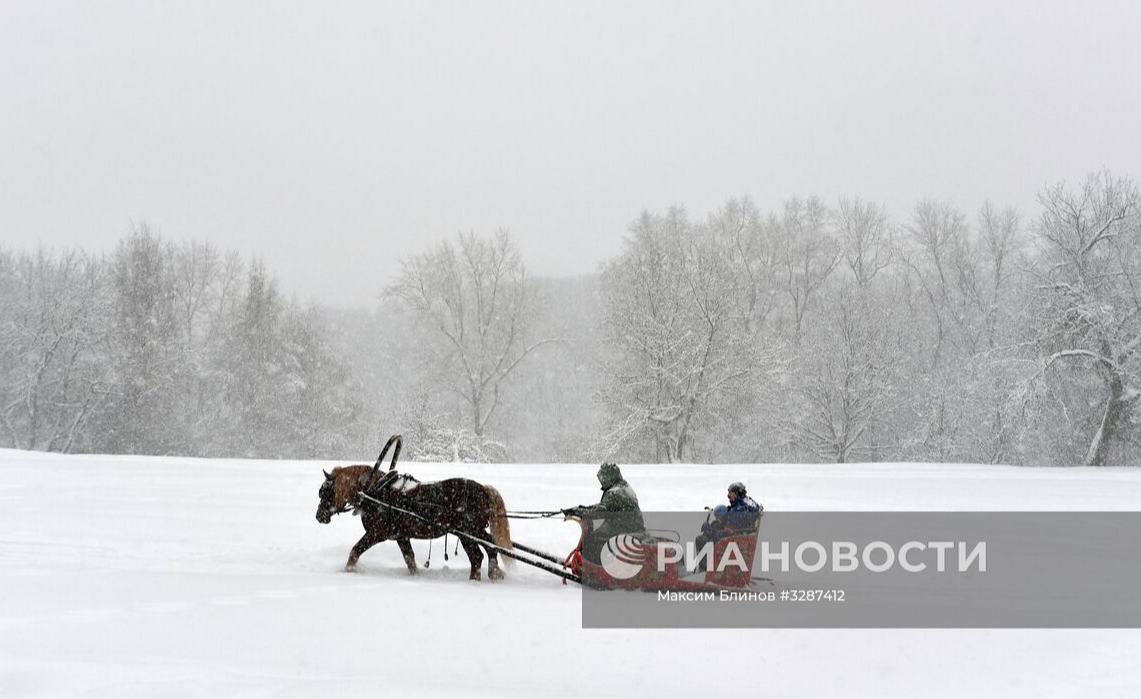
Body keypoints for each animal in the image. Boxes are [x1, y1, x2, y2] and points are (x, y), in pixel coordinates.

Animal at [310, 460, 511, 581]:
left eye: (325, 491)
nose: (319, 516)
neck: (376, 491)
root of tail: (483, 488)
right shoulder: (401, 536)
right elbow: (410, 559)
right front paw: (415, 576)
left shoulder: (376, 533)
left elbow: (355, 551)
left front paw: (348, 571)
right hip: (473, 531)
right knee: (490, 547)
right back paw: (494, 573)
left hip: (468, 532)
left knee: (478, 556)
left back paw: (476, 581)